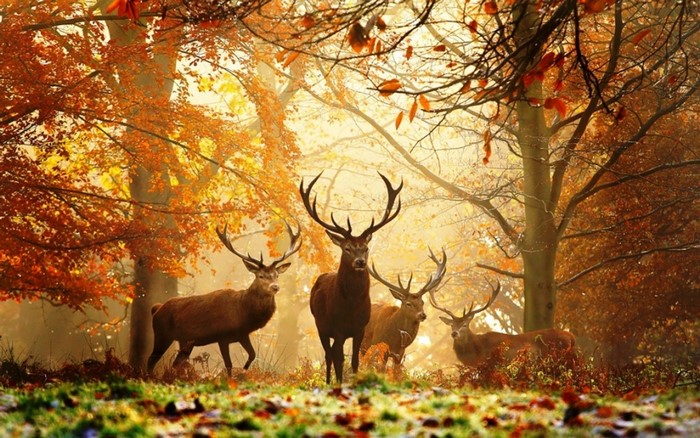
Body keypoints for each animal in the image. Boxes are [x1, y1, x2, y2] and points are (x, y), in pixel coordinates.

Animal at [147, 221, 301, 377]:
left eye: (277, 275)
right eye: (261, 276)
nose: (275, 287)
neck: (243, 313)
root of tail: (156, 309)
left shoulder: (242, 334)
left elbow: (252, 354)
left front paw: (244, 371)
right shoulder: (222, 336)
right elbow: (228, 364)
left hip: (185, 341)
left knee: (175, 363)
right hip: (162, 334)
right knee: (151, 360)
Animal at [299, 171, 402, 384]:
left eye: (365, 248)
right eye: (347, 248)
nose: (360, 262)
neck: (351, 307)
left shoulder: (359, 329)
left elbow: (355, 360)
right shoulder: (337, 328)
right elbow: (339, 359)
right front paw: (339, 383)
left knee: (332, 353)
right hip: (320, 325)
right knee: (329, 355)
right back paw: (328, 382)